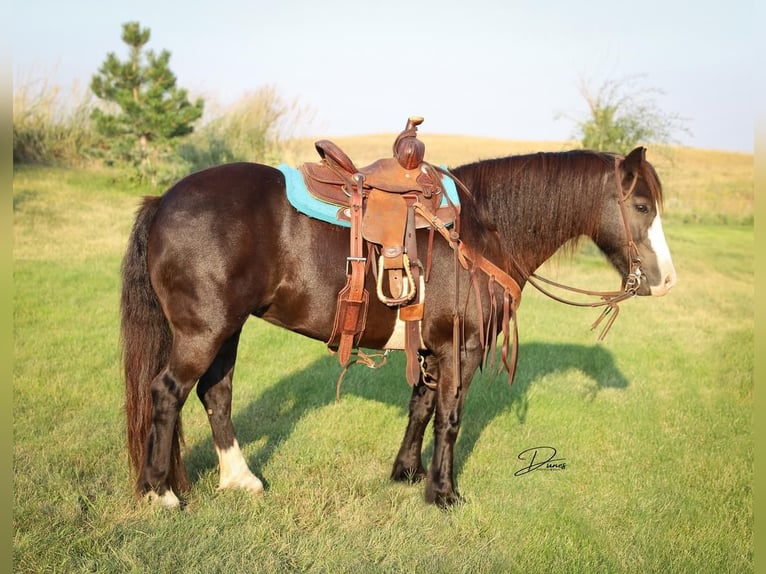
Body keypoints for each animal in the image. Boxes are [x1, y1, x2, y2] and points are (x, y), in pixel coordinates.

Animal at [120, 144, 680, 508]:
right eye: (640, 206)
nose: (666, 281)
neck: (485, 229)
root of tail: (163, 201)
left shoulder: (432, 347)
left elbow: (422, 408)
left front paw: (407, 472)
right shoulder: (461, 348)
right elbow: (450, 418)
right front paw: (443, 492)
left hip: (226, 329)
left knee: (215, 393)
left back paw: (240, 479)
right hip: (203, 331)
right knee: (167, 392)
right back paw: (162, 492)